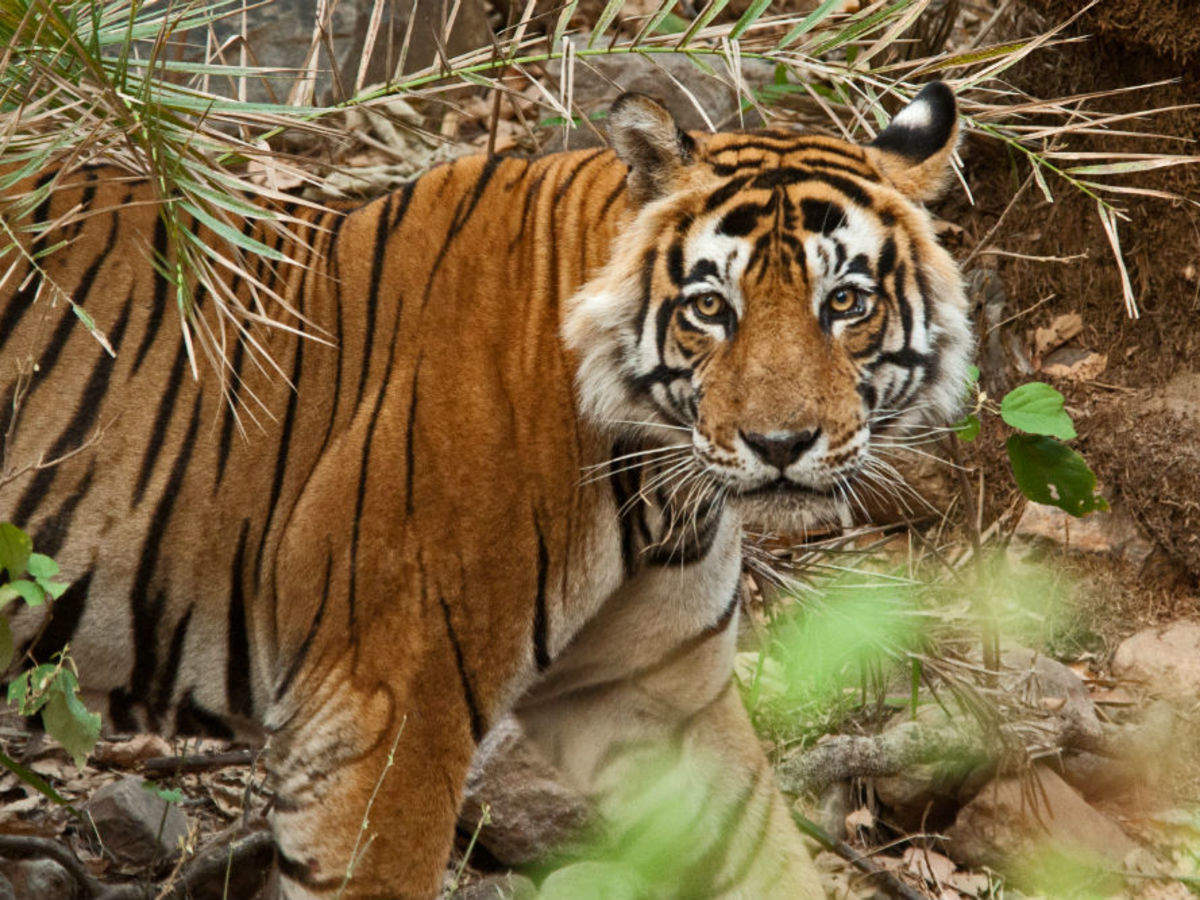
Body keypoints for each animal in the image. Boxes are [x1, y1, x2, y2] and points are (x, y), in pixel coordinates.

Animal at [0, 81, 969, 897]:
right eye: (708, 309)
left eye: (844, 303)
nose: (779, 444)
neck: (655, 482)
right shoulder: (384, 702)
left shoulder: (663, 700)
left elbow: (758, 852)